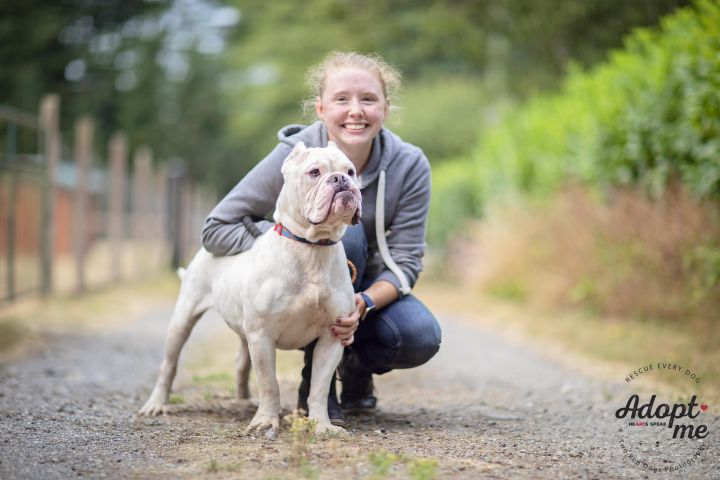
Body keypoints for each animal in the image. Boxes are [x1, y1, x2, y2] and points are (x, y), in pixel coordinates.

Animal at [137, 142, 360, 436]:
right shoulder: (262, 334)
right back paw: (156, 404)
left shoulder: (332, 336)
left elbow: (319, 387)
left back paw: (243, 399)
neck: (311, 248)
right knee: (169, 364)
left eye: (351, 171)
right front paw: (266, 420)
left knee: (241, 362)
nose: (341, 180)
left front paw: (321, 424)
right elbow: (269, 383)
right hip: (183, 320)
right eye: (314, 172)